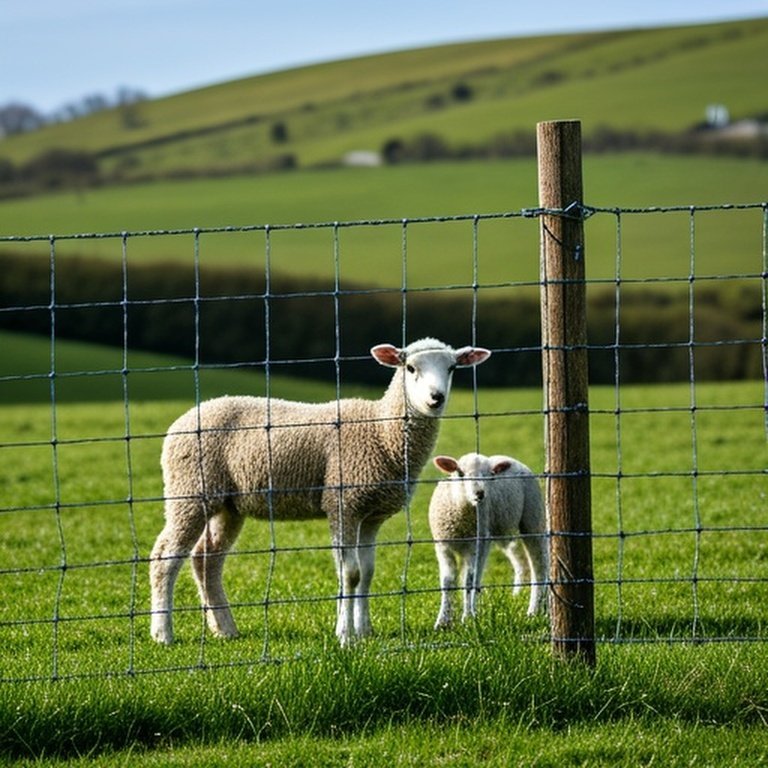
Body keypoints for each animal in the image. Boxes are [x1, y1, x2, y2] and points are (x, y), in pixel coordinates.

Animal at [149, 338, 491, 646]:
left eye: (451, 368)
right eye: (409, 368)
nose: (436, 398)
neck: (381, 430)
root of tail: (183, 420)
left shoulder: (371, 514)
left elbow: (367, 572)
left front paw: (364, 631)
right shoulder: (343, 503)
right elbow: (350, 573)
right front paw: (345, 635)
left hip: (227, 505)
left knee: (206, 559)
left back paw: (224, 628)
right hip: (190, 492)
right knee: (165, 557)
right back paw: (163, 634)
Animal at [428, 452, 548, 628]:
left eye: (490, 475)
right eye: (460, 473)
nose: (480, 493)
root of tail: (510, 458)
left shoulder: (476, 545)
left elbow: (469, 581)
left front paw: (468, 617)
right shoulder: (443, 546)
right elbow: (447, 582)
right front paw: (443, 621)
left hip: (532, 516)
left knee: (539, 564)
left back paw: (535, 609)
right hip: (500, 531)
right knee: (519, 560)